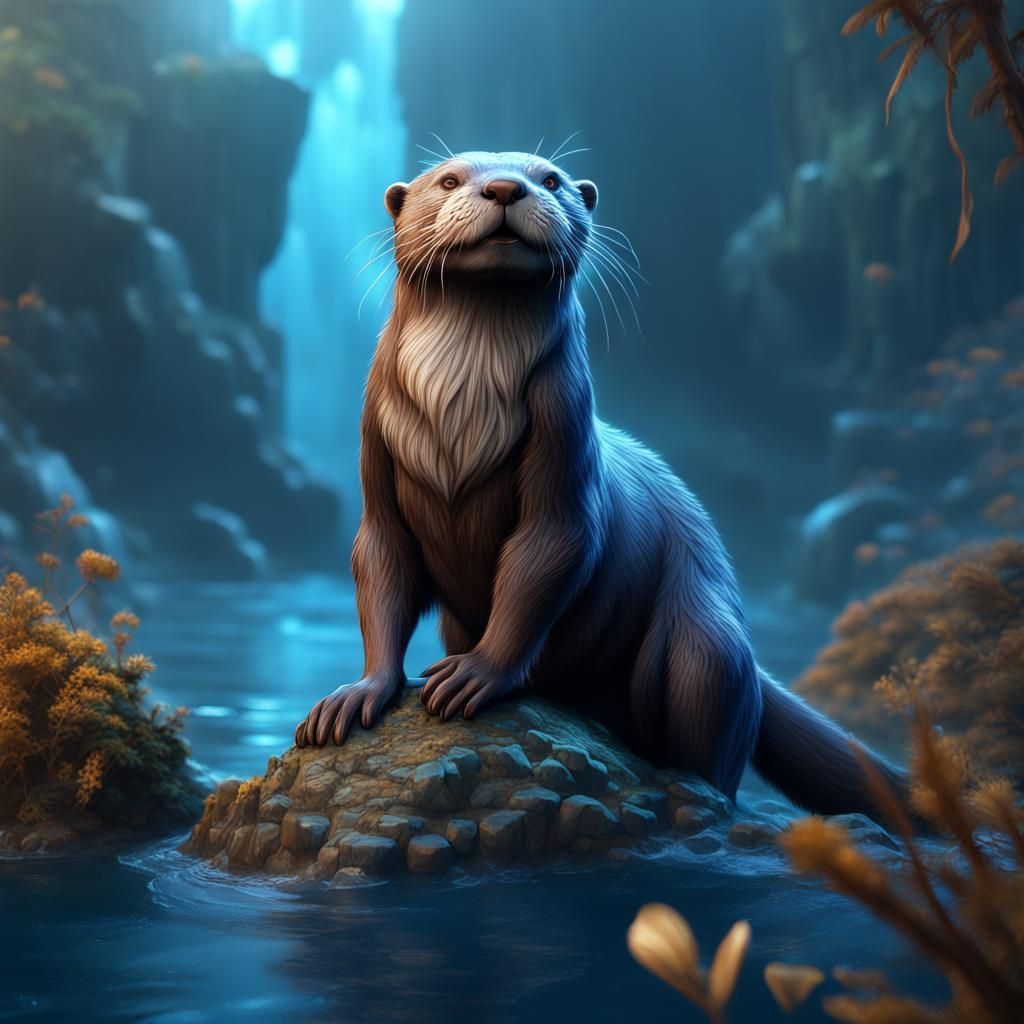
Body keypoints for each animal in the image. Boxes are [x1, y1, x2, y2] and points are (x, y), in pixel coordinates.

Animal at [295, 150, 905, 816]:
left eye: (551, 179)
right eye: (449, 179)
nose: (505, 187)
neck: (462, 412)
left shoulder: (564, 428)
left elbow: (550, 550)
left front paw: (476, 673)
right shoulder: (373, 439)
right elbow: (381, 558)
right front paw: (362, 690)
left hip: (706, 646)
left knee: (711, 736)